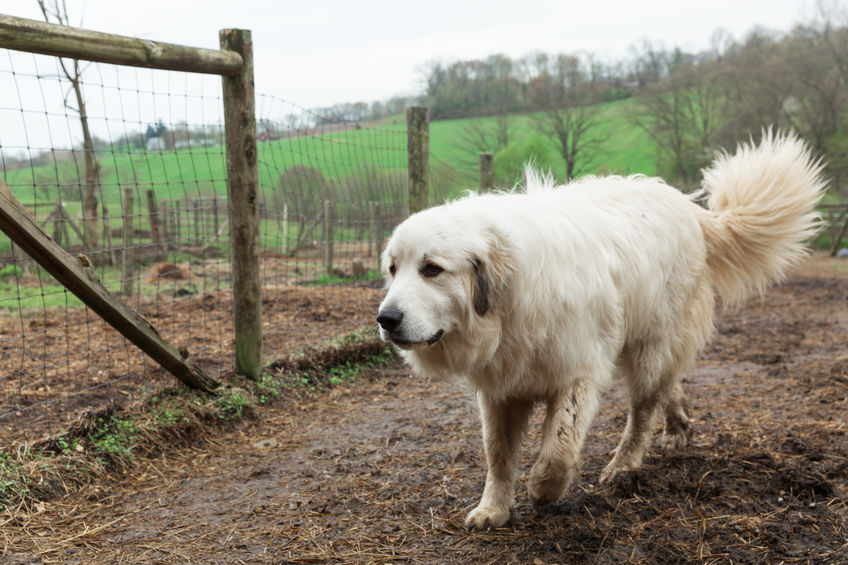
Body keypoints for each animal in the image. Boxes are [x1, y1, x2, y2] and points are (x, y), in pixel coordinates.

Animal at [376, 131, 820, 528]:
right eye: (393, 269)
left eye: (432, 269)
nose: (386, 318)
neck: (511, 300)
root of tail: (688, 208)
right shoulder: (501, 388)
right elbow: (497, 454)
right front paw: (494, 509)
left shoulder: (578, 373)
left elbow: (559, 448)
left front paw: (544, 488)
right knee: (669, 384)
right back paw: (677, 425)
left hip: (649, 346)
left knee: (643, 409)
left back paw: (624, 466)